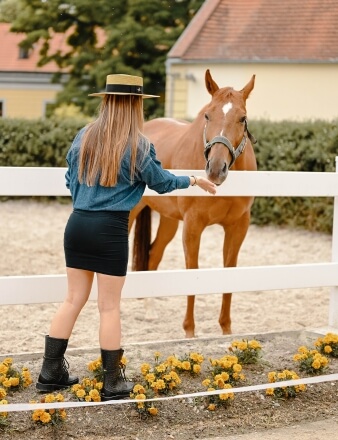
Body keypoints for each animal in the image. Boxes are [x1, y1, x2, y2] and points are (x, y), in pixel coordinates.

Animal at [129, 69, 256, 336]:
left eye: (242, 118)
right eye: (208, 114)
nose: (216, 169)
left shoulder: (238, 227)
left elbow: (229, 270)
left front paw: (226, 329)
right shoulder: (193, 225)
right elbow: (192, 271)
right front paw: (189, 331)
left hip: (168, 220)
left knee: (153, 254)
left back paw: (149, 310)